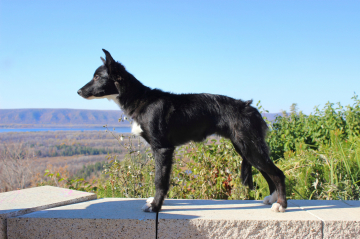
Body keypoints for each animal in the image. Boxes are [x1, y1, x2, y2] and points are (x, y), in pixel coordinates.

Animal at [78, 49, 286, 213]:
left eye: (97, 77)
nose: (79, 92)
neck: (142, 100)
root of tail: (250, 108)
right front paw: (154, 202)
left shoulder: (163, 149)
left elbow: (160, 180)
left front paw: (155, 206)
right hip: (245, 147)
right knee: (268, 172)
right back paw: (272, 199)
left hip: (249, 148)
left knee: (278, 173)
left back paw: (281, 205)